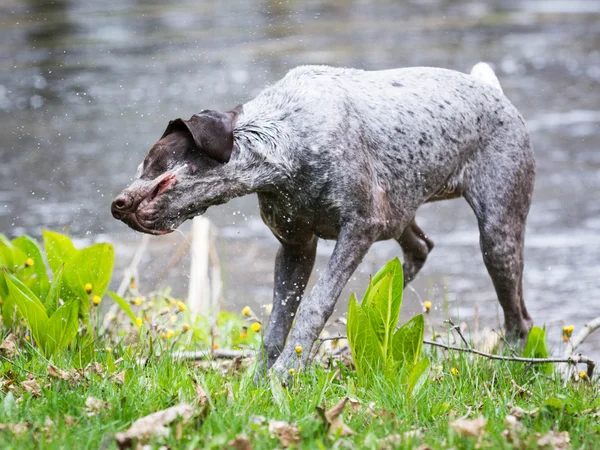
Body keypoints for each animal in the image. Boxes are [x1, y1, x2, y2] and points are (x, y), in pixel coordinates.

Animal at [111, 62, 536, 372]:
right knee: (421, 247)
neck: (284, 143)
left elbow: (314, 308)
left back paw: (510, 368)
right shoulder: (296, 248)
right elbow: (276, 327)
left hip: (497, 237)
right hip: (397, 214)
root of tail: (493, 90)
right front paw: (258, 382)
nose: (116, 204)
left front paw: (285, 376)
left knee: (520, 321)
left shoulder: (358, 229)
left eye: (153, 160)